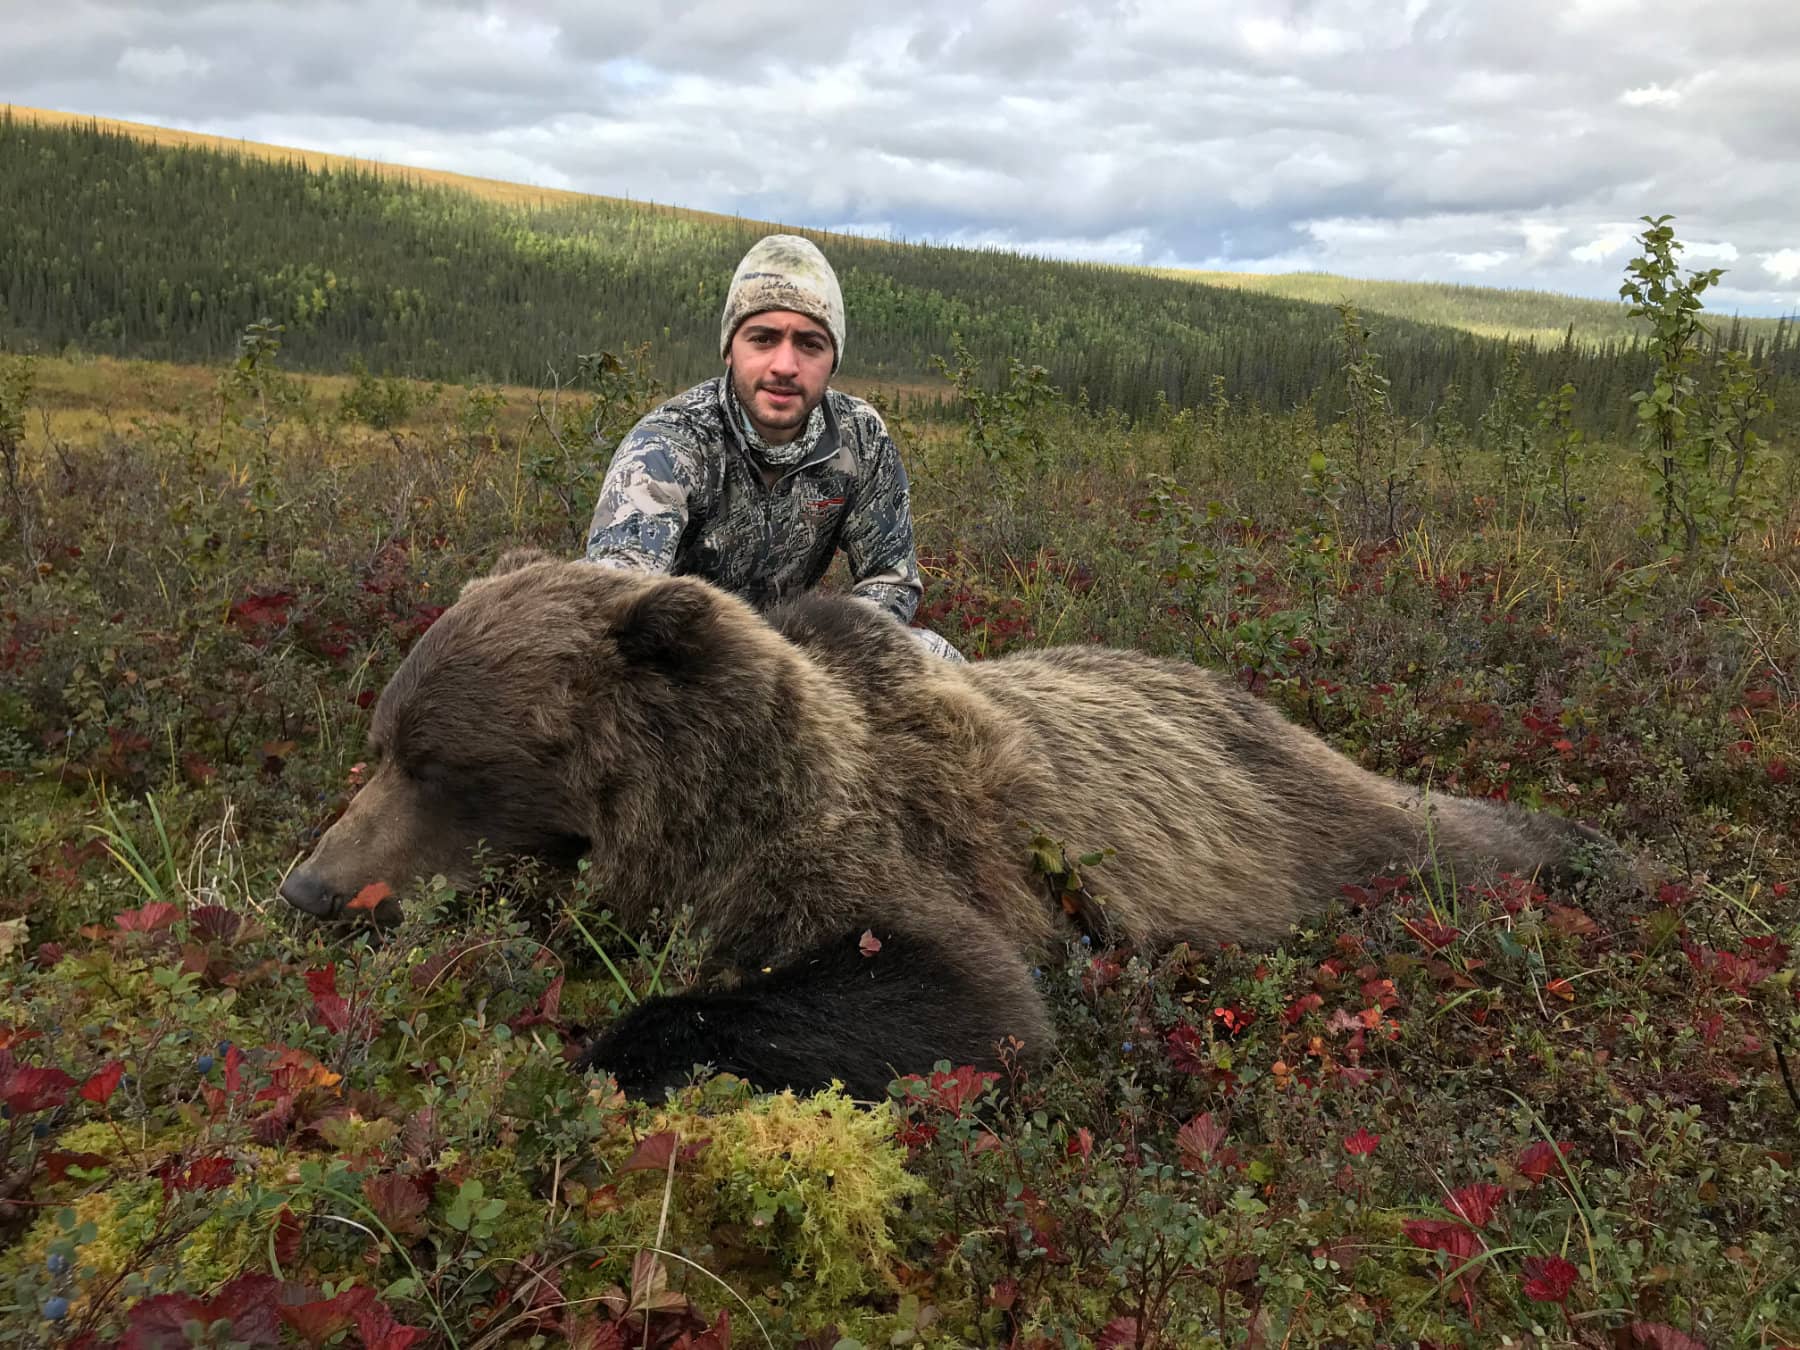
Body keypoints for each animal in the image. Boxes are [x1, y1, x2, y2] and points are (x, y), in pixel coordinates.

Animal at [284, 554, 1620, 1101]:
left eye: (437, 762)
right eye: (382, 740)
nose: (305, 889)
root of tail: (1253, 695)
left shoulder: (859, 840)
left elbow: (964, 991)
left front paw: (601, 1051)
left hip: (1304, 821)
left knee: (1441, 841)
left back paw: (1608, 858)